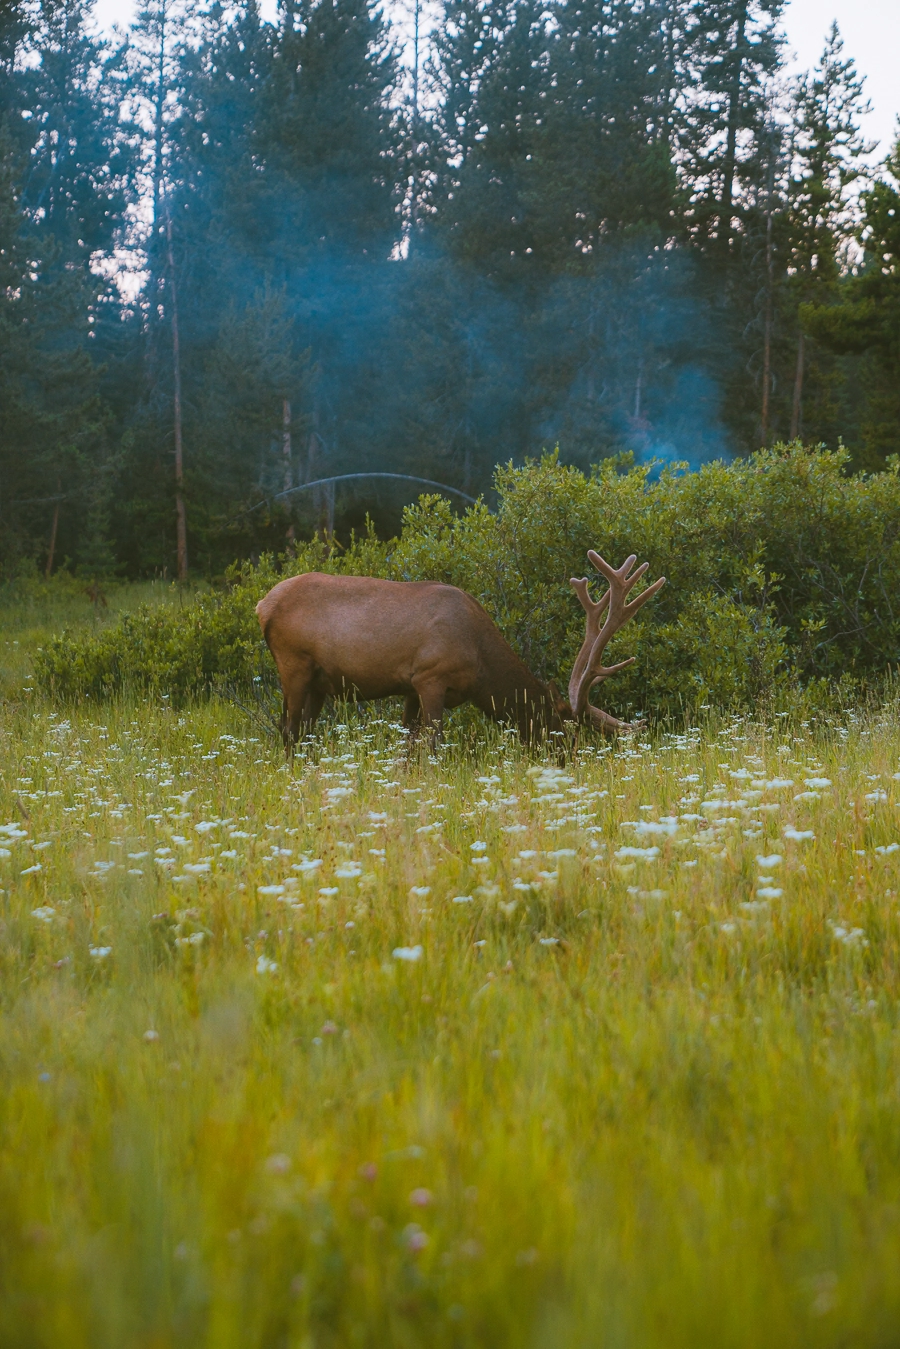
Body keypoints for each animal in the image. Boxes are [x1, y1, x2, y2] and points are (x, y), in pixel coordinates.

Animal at [256, 553, 666, 755]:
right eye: (560, 731)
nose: (568, 761)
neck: (480, 667)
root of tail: (263, 606)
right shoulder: (430, 677)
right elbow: (432, 744)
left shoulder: (410, 687)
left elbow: (407, 746)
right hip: (294, 665)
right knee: (288, 731)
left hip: (319, 683)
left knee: (304, 732)